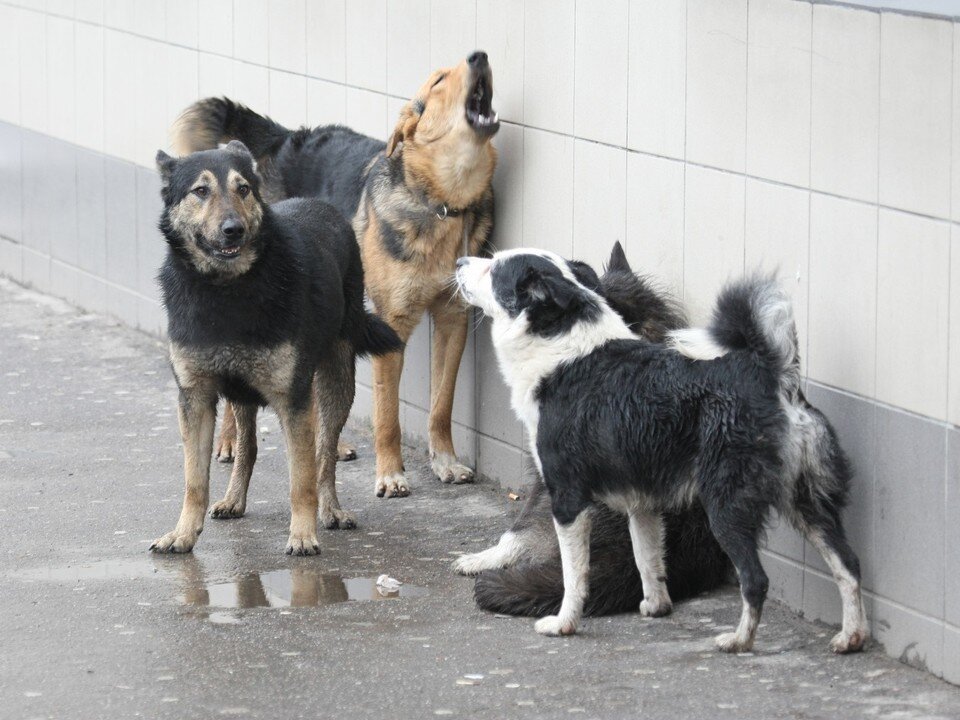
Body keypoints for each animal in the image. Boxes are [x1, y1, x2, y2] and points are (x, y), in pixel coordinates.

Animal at [149, 142, 402, 556]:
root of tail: (321, 204)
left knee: (324, 453)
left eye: (243, 189)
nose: (233, 229)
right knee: (248, 446)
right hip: (242, 392)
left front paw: (302, 534)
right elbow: (194, 480)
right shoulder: (195, 398)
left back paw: (331, 509)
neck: (227, 290)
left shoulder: (292, 400)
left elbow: (302, 478)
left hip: (335, 383)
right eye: (200, 191)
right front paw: (183, 533)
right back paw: (234, 499)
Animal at [172, 52, 498, 500]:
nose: (479, 56)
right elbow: (387, 414)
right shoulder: (393, 324)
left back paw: (329, 442)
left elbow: (441, 405)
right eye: (438, 81)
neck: (442, 202)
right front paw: (390, 473)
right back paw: (229, 440)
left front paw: (444, 461)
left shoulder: (453, 320)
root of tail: (285, 138)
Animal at [454, 250, 868, 656]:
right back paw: (851, 636)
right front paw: (656, 607)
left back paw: (740, 641)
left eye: (494, 268)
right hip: (809, 506)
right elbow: (648, 559)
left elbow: (574, 575)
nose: (459, 262)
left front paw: (564, 623)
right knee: (848, 565)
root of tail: (774, 379)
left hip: (725, 507)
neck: (563, 349)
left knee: (756, 579)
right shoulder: (642, 502)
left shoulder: (568, 499)